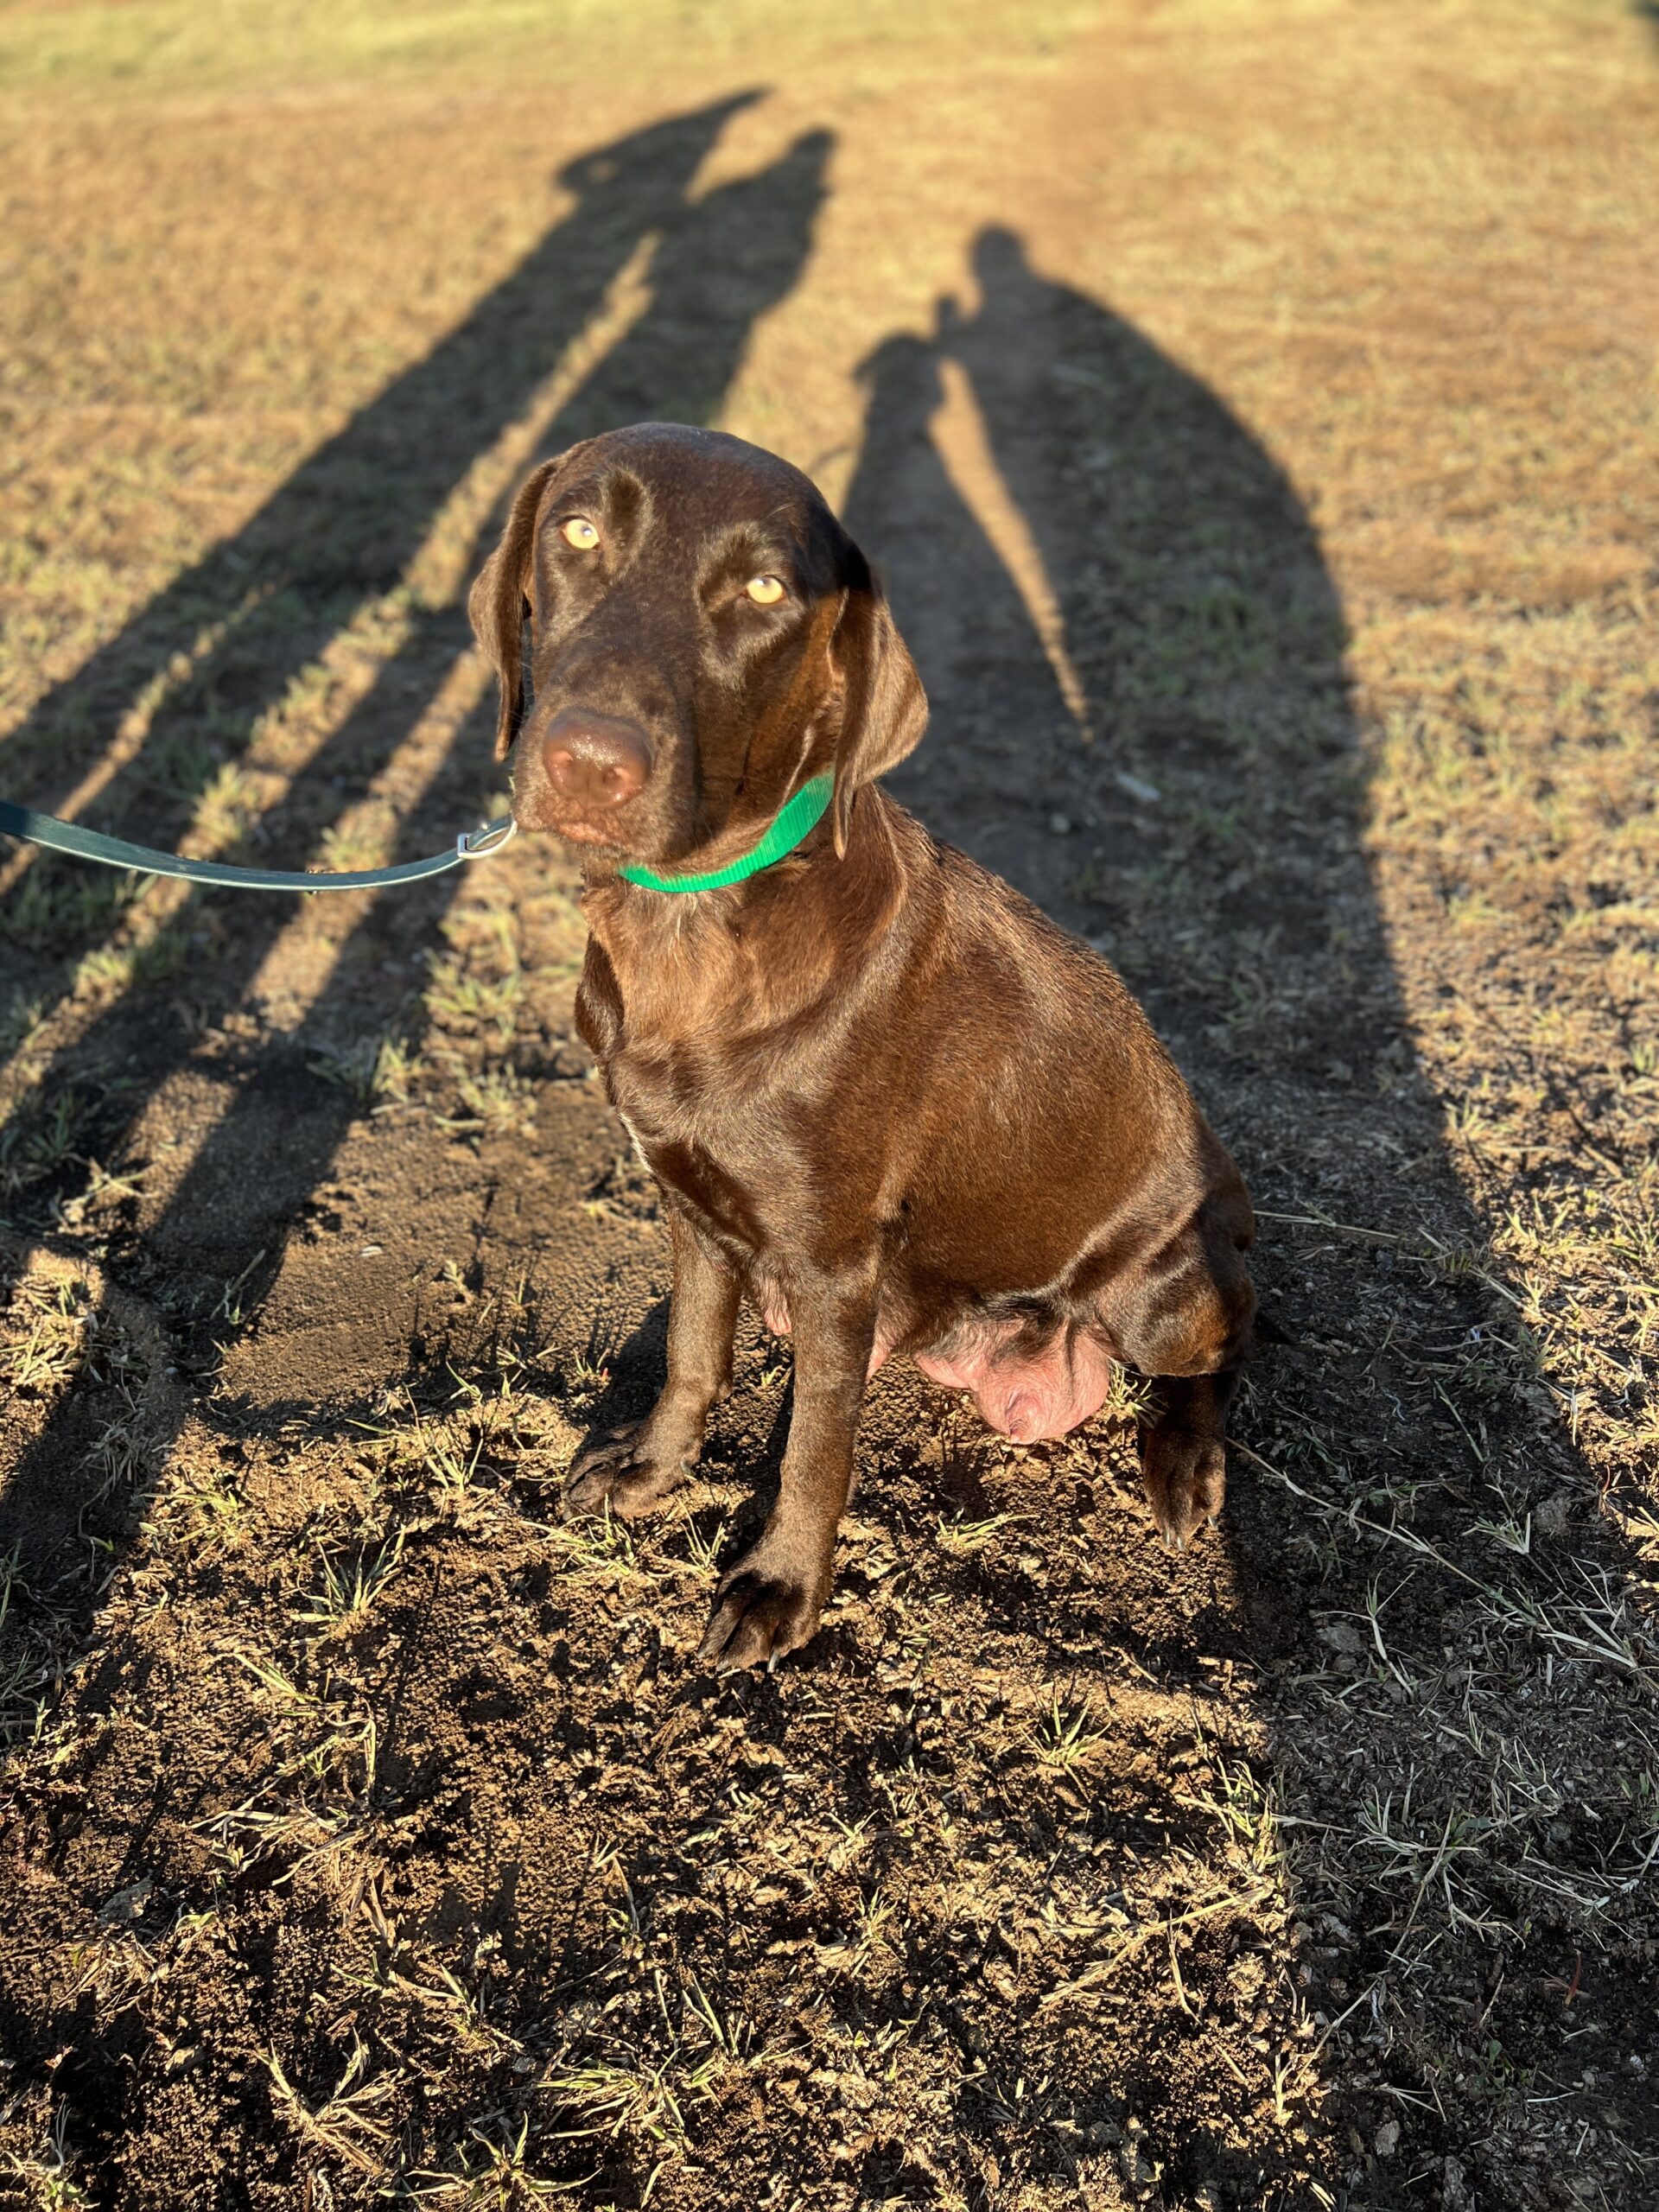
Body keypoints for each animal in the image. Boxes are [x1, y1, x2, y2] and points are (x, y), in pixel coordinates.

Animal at [471, 427, 1256, 1672]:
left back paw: (1184, 1463)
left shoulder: (833, 1259)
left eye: (764, 592)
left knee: (1234, 1344)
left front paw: (780, 1588)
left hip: (1163, 1284)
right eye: (579, 531)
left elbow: (815, 1449)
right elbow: (692, 1353)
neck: (693, 925)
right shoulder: (687, 1199)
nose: (589, 762)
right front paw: (653, 1470)